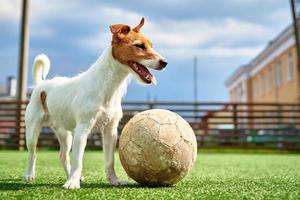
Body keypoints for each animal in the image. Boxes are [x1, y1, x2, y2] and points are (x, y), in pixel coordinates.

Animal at [24, 17, 168, 189]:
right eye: (139, 45)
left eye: (151, 45)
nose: (165, 62)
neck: (108, 88)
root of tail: (41, 84)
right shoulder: (82, 130)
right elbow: (78, 160)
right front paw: (72, 183)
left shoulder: (110, 131)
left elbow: (109, 161)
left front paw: (114, 180)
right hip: (33, 130)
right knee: (33, 153)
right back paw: (30, 175)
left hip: (65, 134)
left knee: (63, 156)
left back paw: (71, 175)